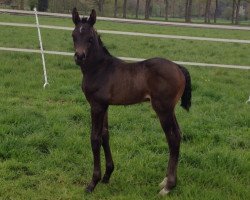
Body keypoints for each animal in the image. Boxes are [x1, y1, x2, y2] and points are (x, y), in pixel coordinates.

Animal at [71, 8, 192, 196]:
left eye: (90, 38)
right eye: (74, 35)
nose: (79, 56)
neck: (99, 68)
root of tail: (178, 67)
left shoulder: (96, 106)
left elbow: (95, 139)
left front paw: (92, 183)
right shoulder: (104, 106)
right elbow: (105, 134)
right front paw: (107, 175)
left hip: (162, 109)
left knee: (172, 138)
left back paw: (168, 186)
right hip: (170, 109)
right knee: (178, 135)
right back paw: (165, 181)